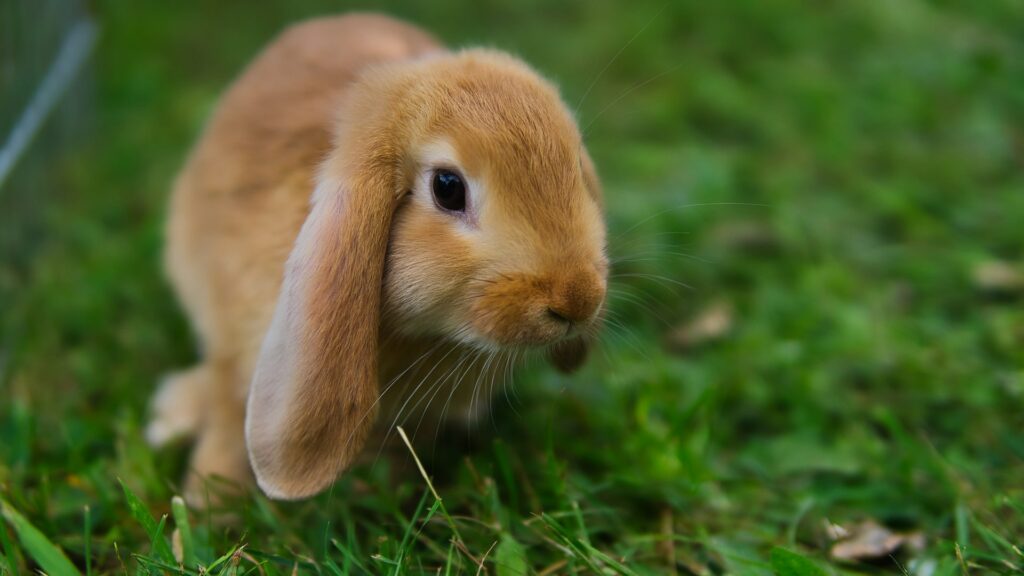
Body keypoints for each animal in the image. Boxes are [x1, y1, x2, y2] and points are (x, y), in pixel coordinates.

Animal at [145, 12, 606, 498]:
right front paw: (206, 505)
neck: (430, 338)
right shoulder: (232, 344)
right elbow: (227, 424)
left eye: (576, 167)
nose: (578, 300)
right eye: (447, 188)